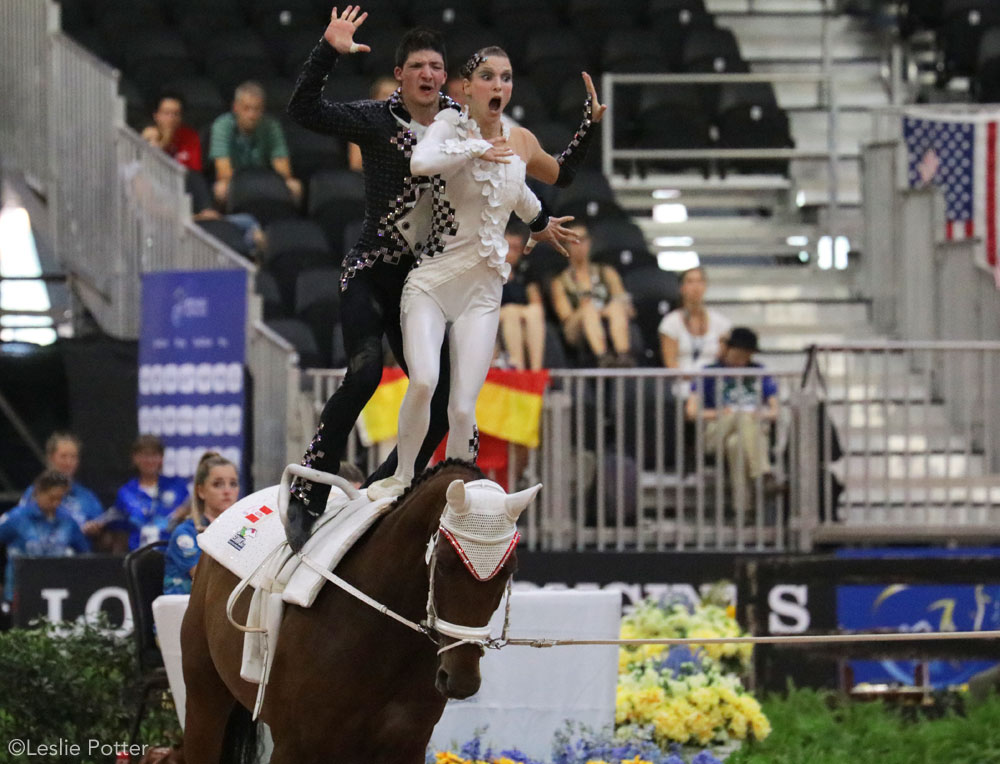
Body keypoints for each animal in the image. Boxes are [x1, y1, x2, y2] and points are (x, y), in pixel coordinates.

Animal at [180, 460, 540, 764]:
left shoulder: (406, 746)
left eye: (510, 569)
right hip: (205, 699)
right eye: (445, 563)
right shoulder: (294, 745)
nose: (462, 680)